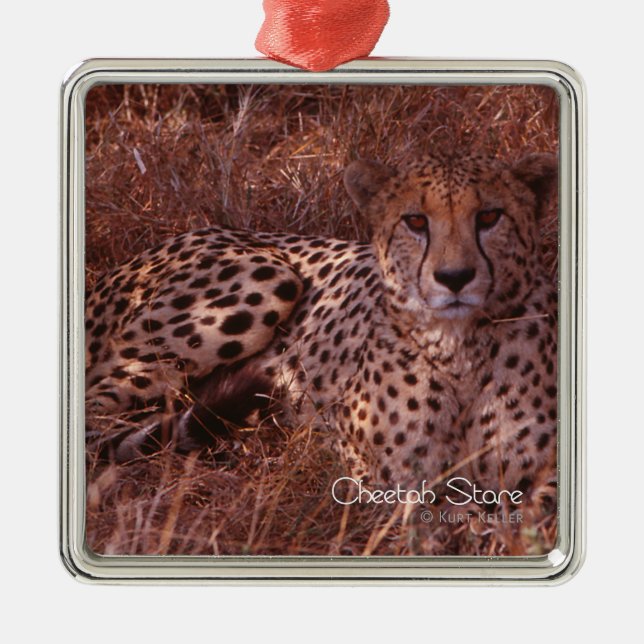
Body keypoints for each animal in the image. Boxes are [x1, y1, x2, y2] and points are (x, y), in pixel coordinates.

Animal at [85, 150, 558, 502]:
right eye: (416, 221)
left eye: (490, 217)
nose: (454, 277)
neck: (459, 348)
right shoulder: (381, 474)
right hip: (268, 278)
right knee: (96, 413)